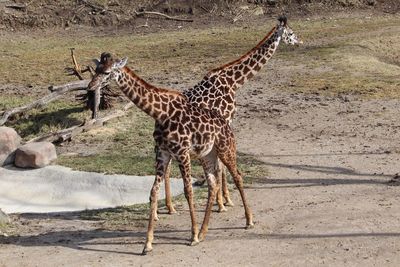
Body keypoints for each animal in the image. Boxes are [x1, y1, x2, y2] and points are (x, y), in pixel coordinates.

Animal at [89, 52, 255, 255]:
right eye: (96, 69)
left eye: (106, 72)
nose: (90, 87)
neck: (160, 113)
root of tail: (226, 124)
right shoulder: (162, 154)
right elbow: (153, 192)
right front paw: (147, 244)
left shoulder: (182, 152)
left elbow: (188, 191)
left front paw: (192, 236)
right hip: (207, 155)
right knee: (213, 184)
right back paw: (204, 231)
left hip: (225, 148)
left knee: (238, 176)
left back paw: (248, 221)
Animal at [161, 15, 302, 216]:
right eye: (291, 33)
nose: (300, 41)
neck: (234, 81)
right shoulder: (225, 119)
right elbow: (220, 165)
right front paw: (222, 202)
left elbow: (219, 165)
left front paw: (225, 200)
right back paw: (169, 208)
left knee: (165, 167)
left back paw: (169, 207)